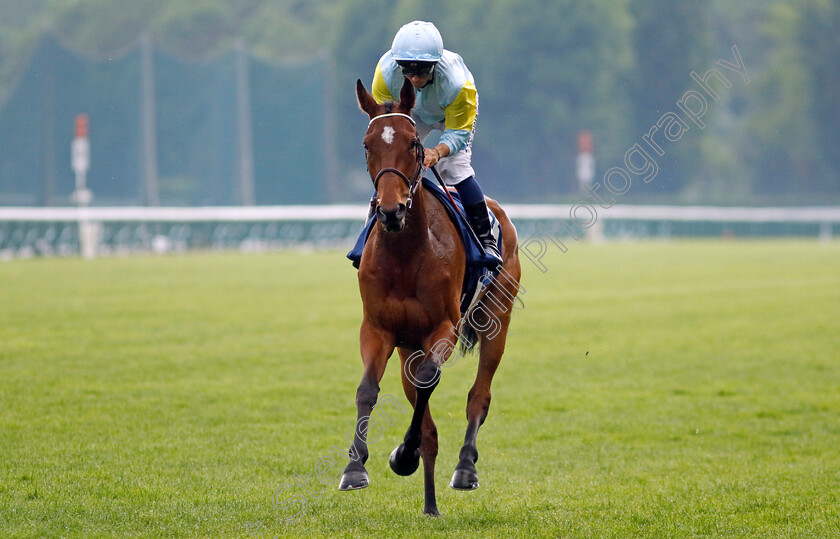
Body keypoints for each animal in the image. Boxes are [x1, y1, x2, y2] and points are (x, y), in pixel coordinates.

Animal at [340, 77, 520, 520]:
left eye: (413, 144)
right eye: (367, 144)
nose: (390, 210)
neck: (406, 253)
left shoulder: (444, 327)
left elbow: (429, 383)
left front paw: (404, 455)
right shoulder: (379, 329)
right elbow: (368, 390)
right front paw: (356, 467)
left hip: (498, 316)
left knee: (479, 396)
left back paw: (465, 466)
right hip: (409, 345)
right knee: (429, 421)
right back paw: (430, 505)